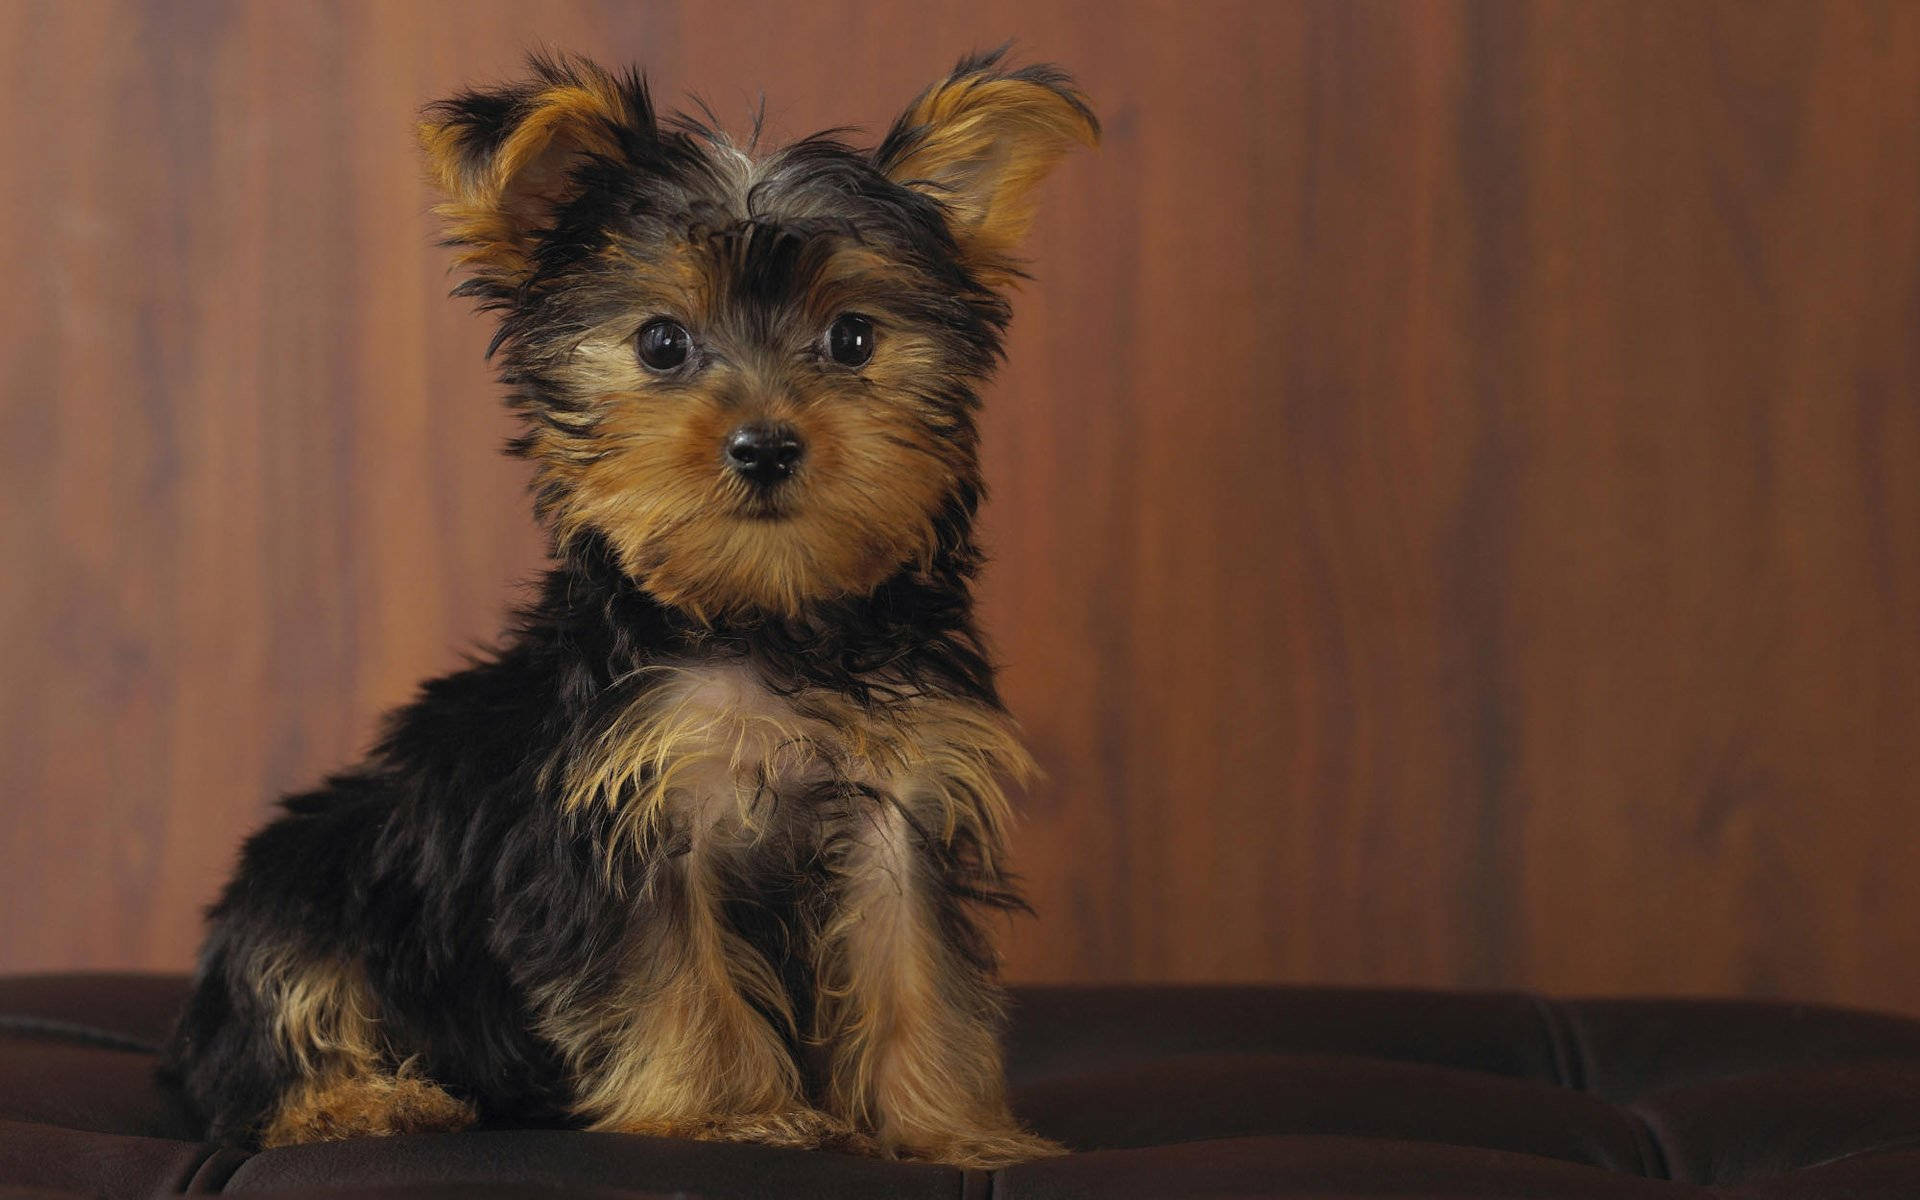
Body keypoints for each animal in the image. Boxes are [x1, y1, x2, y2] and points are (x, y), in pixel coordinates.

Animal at [161, 51, 1098, 1167]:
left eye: (853, 337)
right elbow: (674, 976)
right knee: (269, 1022)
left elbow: (914, 966)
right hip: (311, 874)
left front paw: (947, 1129)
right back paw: (358, 1102)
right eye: (659, 343)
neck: (767, 619)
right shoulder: (627, 811)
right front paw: (731, 1112)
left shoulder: (896, 809)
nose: (765, 446)